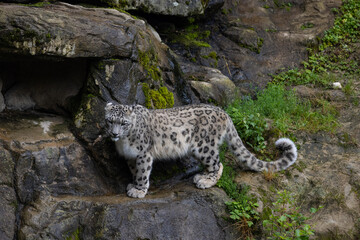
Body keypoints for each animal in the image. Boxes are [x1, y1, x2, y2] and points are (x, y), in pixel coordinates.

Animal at [105, 102, 298, 198]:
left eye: (123, 123)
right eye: (109, 120)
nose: (114, 133)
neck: (124, 141)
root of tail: (224, 112)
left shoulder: (143, 153)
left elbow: (143, 172)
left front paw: (138, 190)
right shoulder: (131, 156)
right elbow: (135, 171)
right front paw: (133, 184)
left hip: (204, 146)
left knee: (218, 164)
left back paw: (206, 181)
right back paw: (201, 176)